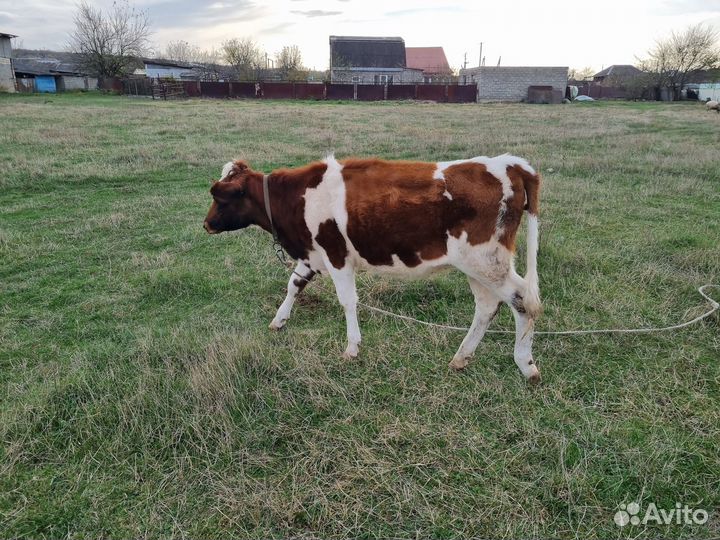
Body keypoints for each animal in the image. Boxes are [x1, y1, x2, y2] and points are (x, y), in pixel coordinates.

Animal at [204, 154, 542, 381]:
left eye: (220, 197)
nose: (206, 224)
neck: (297, 197)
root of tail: (508, 163)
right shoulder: (312, 254)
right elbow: (294, 284)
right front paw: (279, 320)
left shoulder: (336, 253)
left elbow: (347, 301)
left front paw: (352, 347)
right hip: (478, 265)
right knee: (487, 306)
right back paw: (461, 357)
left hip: (485, 261)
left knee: (522, 300)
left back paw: (525, 363)